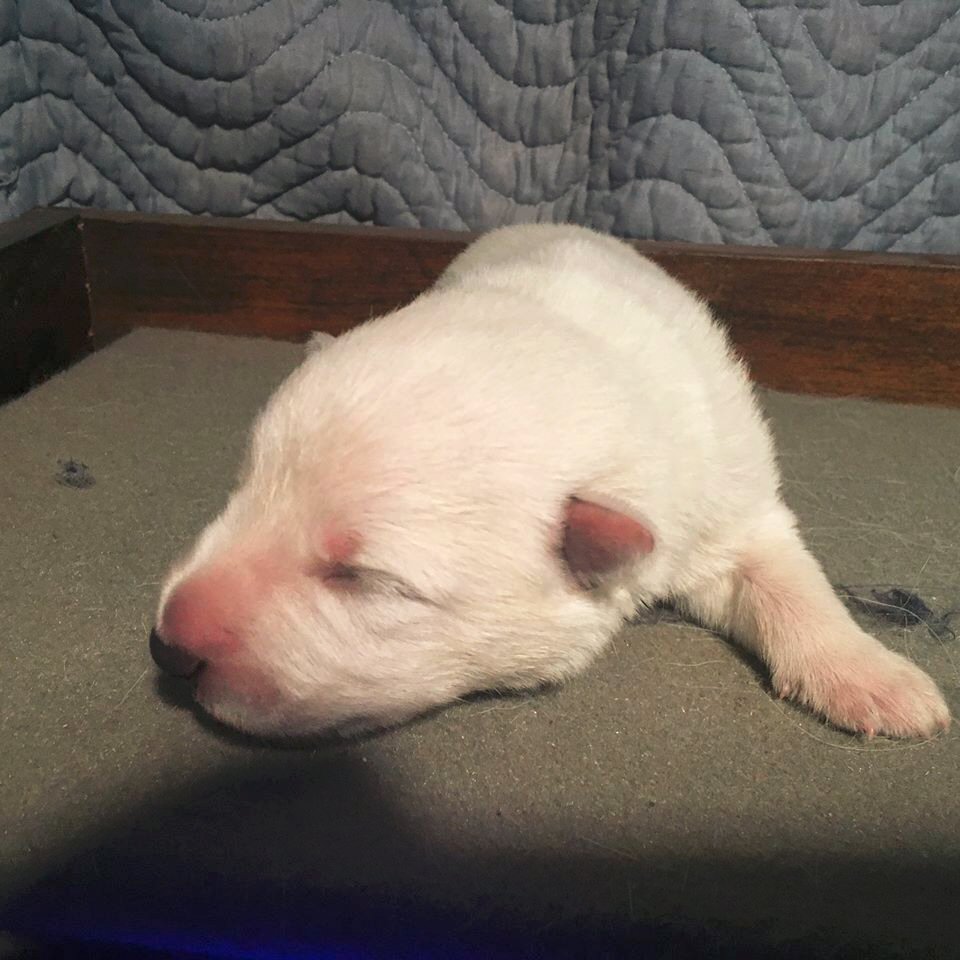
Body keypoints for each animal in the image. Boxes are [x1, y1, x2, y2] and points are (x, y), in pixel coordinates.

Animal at [150, 224, 950, 740]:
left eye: (366, 580)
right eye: (243, 492)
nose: (166, 646)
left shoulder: (732, 501)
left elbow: (792, 582)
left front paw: (878, 680)